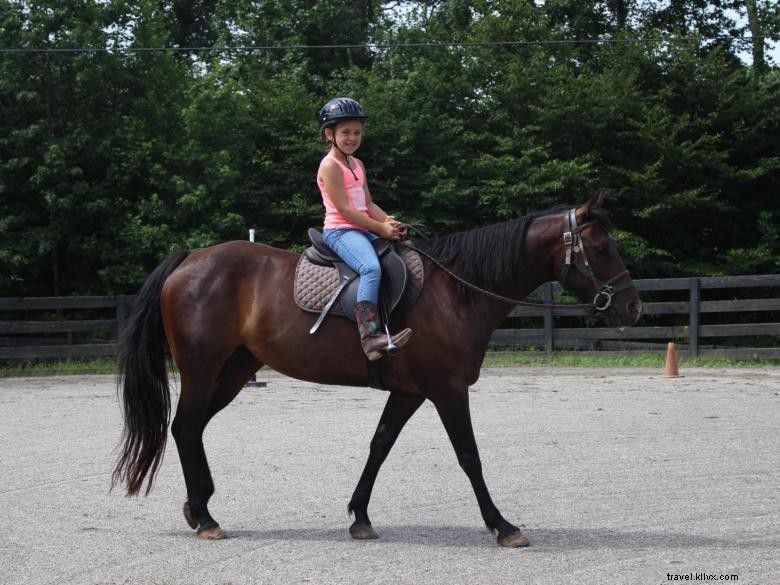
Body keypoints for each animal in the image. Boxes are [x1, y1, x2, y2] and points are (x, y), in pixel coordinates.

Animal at [112, 194, 644, 544]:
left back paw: (198, 507)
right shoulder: (448, 389)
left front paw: (360, 517)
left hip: (234, 371)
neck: (457, 292)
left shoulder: (410, 391)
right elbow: (469, 456)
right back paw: (205, 519)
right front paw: (503, 525)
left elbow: (379, 445)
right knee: (185, 427)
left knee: (192, 429)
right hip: (204, 370)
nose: (633, 307)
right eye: (601, 248)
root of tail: (191, 259)